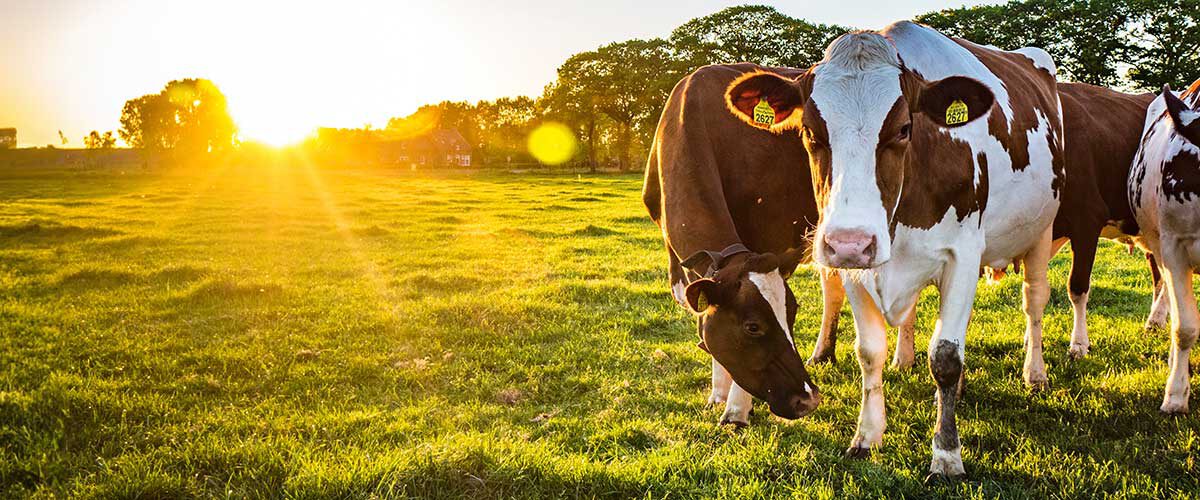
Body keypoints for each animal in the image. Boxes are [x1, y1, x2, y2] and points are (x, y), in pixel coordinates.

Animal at [638, 64, 835, 426]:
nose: (808, 400)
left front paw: (736, 411)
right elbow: (703, 314)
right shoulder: (682, 261)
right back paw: (822, 355)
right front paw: (717, 394)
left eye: (792, 314)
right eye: (752, 327)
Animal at [715, 21, 1065, 477]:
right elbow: (869, 352)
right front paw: (867, 436)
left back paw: (1034, 373)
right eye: (810, 132)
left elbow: (946, 357)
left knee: (1034, 301)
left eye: (902, 129)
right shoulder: (856, 266)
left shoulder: (964, 253)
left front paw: (946, 455)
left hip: (1041, 232)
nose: (850, 242)